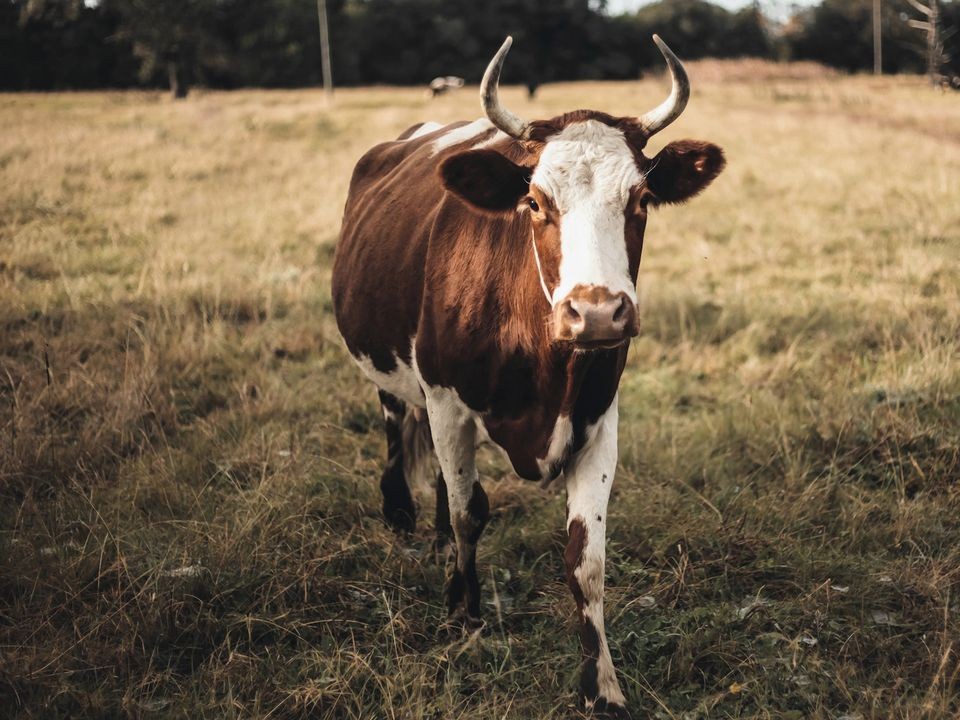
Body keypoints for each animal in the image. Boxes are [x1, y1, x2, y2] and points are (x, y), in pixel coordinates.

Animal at [334, 36, 724, 716]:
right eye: (536, 203)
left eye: (640, 200)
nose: (597, 312)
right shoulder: (447, 400)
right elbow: (469, 512)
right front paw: (465, 619)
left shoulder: (599, 419)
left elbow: (585, 559)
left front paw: (601, 683)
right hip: (393, 375)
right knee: (398, 429)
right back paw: (404, 516)